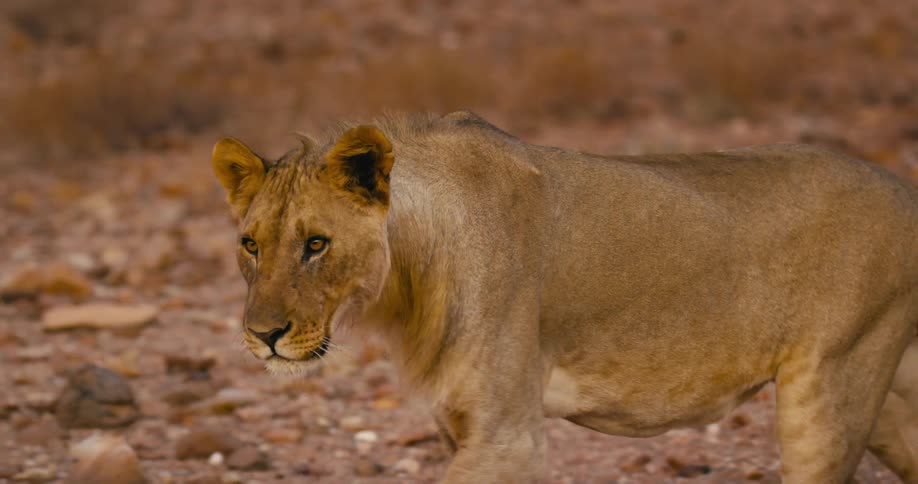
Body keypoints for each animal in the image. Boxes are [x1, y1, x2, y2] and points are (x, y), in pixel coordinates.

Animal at [212, 111, 918, 483]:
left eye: (316, 244)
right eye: (250, 245)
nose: (263, 336)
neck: (408, 285)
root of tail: (904, 188)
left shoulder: (509, 435)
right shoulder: (458, 426)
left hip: (827, 390)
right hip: (885, 394)